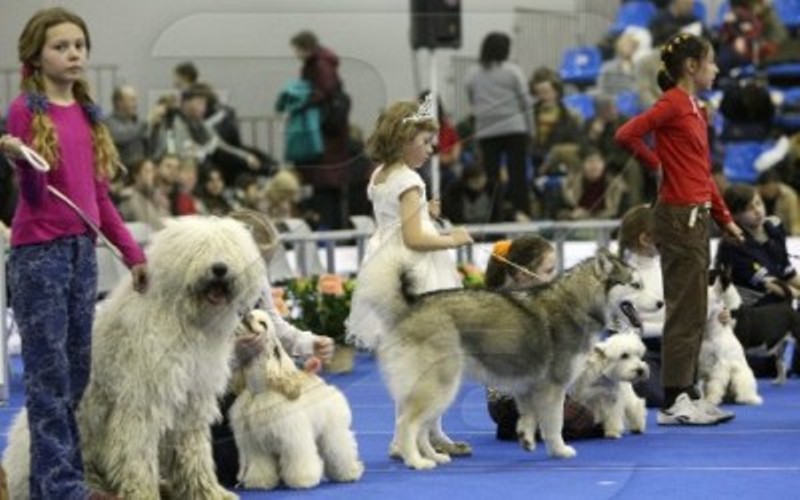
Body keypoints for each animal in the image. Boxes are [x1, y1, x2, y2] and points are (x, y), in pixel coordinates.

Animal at [2, 216, 266, 500]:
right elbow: (136, 451)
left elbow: (193, 452)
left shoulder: (191, 399)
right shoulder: (141, 399)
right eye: (199, 249)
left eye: (228, 247)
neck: (184, 318)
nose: (219, 268)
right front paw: (142, 492)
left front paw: (207, 491)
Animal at [230, 308, 364, 488]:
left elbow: (299, 459)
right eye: (252, 313)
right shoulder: (255, 444)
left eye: (263, 323)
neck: (260, 389)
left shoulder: (294, 438)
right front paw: (260, 482)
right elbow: (260, 465)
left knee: (341, 449)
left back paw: (349, 472)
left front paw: (302, 479)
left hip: (333, 432)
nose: (246, 314)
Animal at [372, 249, 648, 468]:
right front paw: (559, 450)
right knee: (406, 424)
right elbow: (554, 424)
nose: (657, 303)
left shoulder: (528, 387)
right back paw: (416, 461)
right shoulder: (553, 387)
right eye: (635, 285)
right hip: (438, 386)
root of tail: (411, 305)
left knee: (420, 427)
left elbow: (528, 417)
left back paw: (433, 456)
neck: (578, 304)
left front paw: (526, 439)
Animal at [700, 274, 764, 406]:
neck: (712, 333)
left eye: (708, 300)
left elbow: (714, 384)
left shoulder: (720, 365)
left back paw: (746, 399)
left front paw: (711, 399)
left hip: (740, 377)